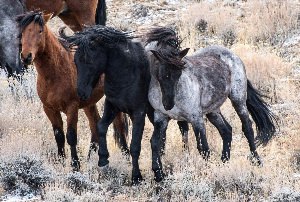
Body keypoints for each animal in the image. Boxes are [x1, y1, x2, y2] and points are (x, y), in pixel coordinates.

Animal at [17, 10, 127, 170]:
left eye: (40, 31)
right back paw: (91, 158)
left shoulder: (72, 107)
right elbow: (59, 135)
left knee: (119, 126)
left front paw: (75, 165)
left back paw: (126, 156)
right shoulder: (49, 108)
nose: (26, 56)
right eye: (23, 32)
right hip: (89, 103)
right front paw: (61, 161)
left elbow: (71, 136)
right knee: (95, 125)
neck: (55, 72)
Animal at [148, 45, 276, 181]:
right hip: (213, 112)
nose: (168, 105)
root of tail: (234, 55)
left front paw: (208, 172)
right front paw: (158, 174)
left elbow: (203, 148)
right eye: (162, 75)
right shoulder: (160, 118)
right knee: (226, 130)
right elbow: (155, 142)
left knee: (247, 128)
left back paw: (257, 160)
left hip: (238, 100)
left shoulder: (196, 118)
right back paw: (224, 160)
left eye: (179, 74)